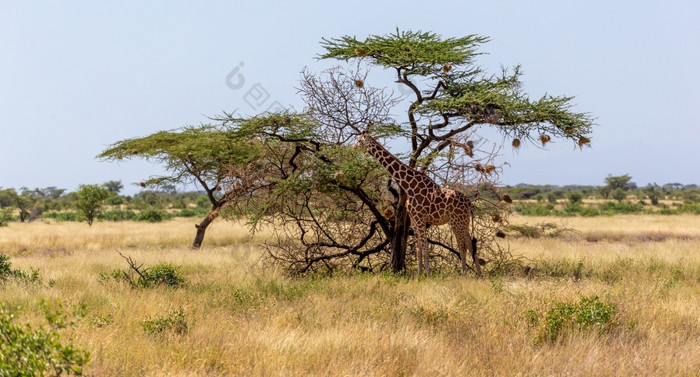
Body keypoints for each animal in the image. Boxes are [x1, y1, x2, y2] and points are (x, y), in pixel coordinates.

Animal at [356, 130, 482, 276]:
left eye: (359, 140)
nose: (354, 148)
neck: (409, 185)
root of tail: (469, 203)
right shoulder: (414, 219)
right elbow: (419, 248)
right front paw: (419, 274)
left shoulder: (420, 217)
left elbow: (425, 246)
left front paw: (428, 274)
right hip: (464, 222)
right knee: (470, 245)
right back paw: (479, 275)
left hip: (456, 221)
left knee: (462, 246)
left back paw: (463, 274)